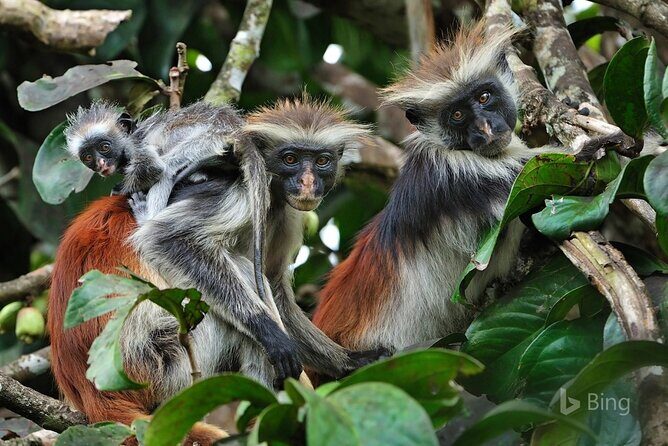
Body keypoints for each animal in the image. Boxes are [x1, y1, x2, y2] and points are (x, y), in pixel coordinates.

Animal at [64, 101, 240, 222]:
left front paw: (121, 189)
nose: (100, 163)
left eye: (105, 147)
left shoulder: (137, 146)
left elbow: (153, 168)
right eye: (88, 157)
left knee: (167, 169)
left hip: (207, 139)